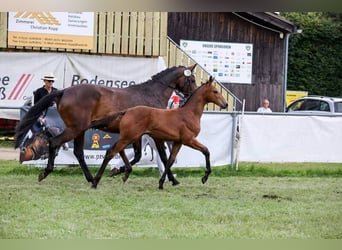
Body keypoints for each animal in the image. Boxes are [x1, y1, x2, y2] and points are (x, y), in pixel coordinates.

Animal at [14, 65, 198, 186]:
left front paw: (119, 170)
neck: (151, 94)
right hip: (75, 129)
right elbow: (163, 156)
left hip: (80, 130)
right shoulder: (152, 134)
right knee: (54, 143)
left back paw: (90, 178)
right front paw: (173, 179)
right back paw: (46, 172)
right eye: (192, 79)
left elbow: (137, 155)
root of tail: (64, 92)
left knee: (78, 152)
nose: (193, 95)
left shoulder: (137, 134)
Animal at [91, 76, 227, 189]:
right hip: (128, 137)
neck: (188, 114)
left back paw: (121, 173)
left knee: (121, 151)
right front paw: (205, 177)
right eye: (215, 91)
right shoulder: (189, 140)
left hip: (131, 137)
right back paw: (95, 181)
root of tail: (127, 111)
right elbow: (206, 151)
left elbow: (170, 160)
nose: (225, 104)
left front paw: (162, 182)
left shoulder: (178, 142)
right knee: (111, 152)